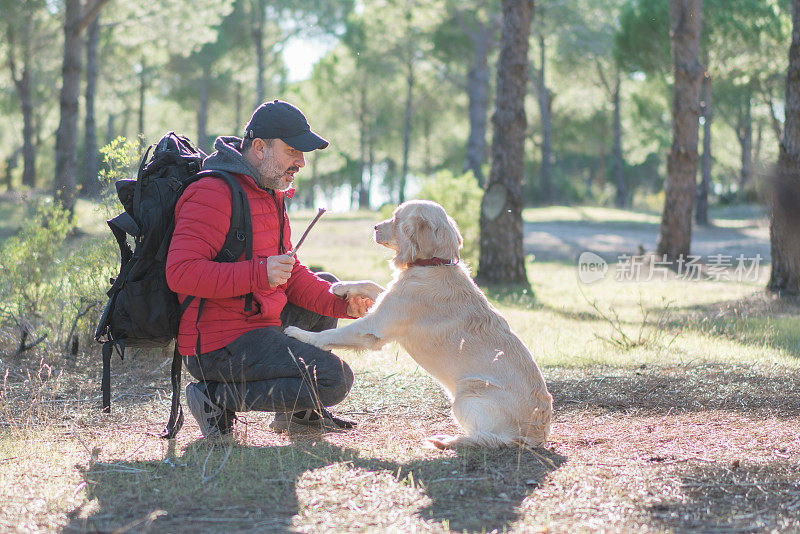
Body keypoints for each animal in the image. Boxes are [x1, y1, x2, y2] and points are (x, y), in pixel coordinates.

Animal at [284, 200, 552, 448]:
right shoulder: (388, 302)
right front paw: (342, 287)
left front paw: (299, 334)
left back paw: (446, 439)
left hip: (466, 395)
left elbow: (330, 334)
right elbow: (372, 285)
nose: (375, 227)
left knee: (486, 438)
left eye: (396, 218)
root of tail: (539, 435)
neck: (433, 264)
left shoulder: (373, 326)